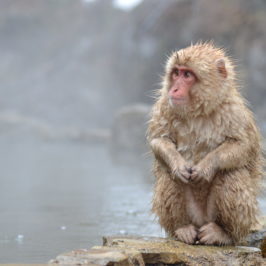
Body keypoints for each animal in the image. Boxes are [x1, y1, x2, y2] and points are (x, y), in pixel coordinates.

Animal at [147, 42, 262, 245]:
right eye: (176, 73)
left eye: (187, 75)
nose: (174, 89)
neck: (198, 111)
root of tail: (201, 221)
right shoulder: (166, 104)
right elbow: (159, 139)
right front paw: (178, 165)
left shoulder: (233, 111)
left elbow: (243, 145)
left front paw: (206, 167)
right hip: (192, 215)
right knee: (169, 176)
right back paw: (182, 228)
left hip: (219, 218)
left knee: (231, 174)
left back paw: (224, 233)